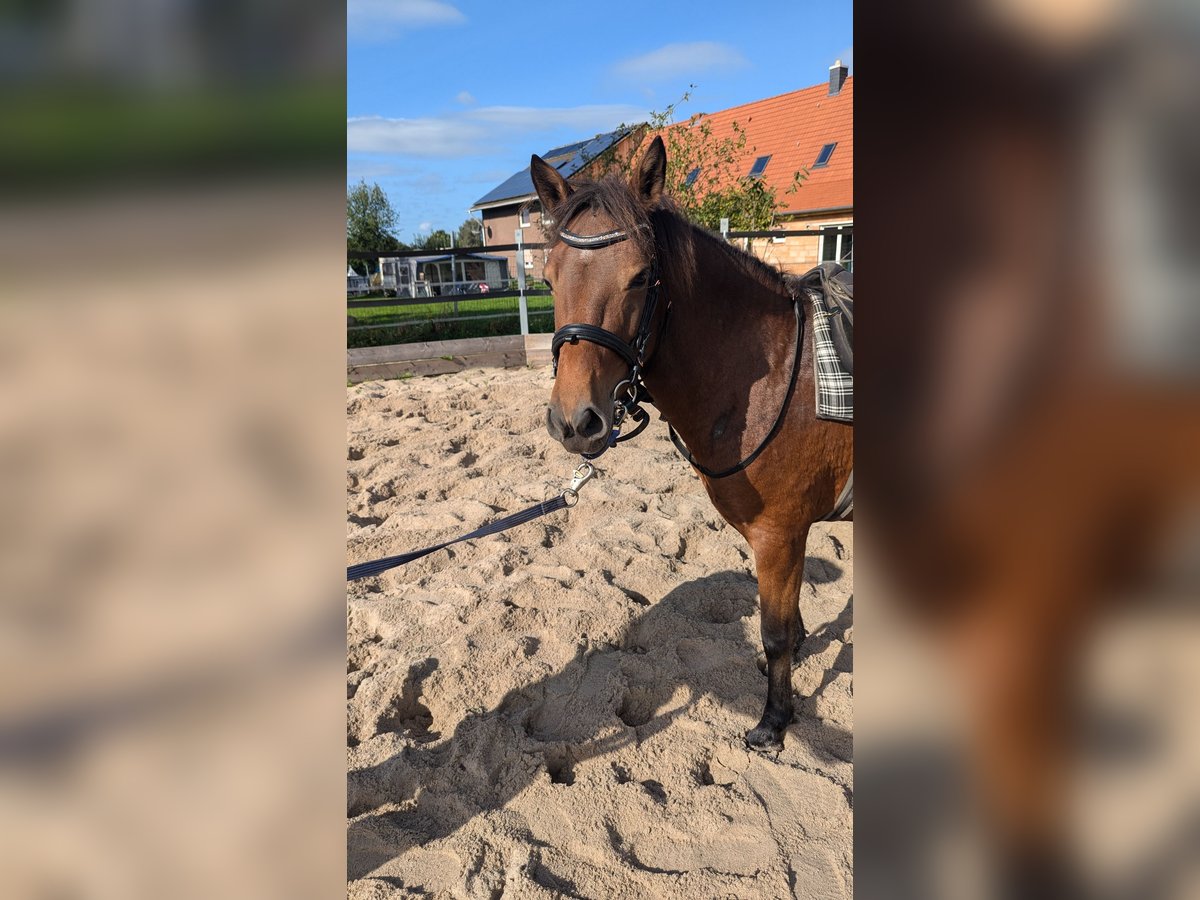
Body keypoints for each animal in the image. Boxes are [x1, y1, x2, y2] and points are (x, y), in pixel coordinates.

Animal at [532, 135, 854, 753]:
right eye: (549, 280)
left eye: (639, 278)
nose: (576, 422)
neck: (775, 374)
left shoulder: (780, 534)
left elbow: (776, 632)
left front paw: (773, 722)